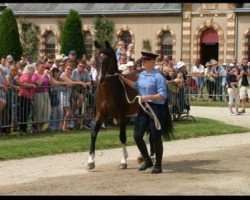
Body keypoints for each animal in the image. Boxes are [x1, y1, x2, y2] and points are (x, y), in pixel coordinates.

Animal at [87, 41, 173, 170]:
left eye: (108, 58)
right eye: (96, 58)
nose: (99, 79)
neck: (109, 91)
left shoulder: (121, 117)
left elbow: (122, 136)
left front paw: (123, 161)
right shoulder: (100, 115)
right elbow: (93, 133)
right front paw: (91, 161)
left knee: (150, 132)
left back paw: (148, 156)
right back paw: (142, 157)